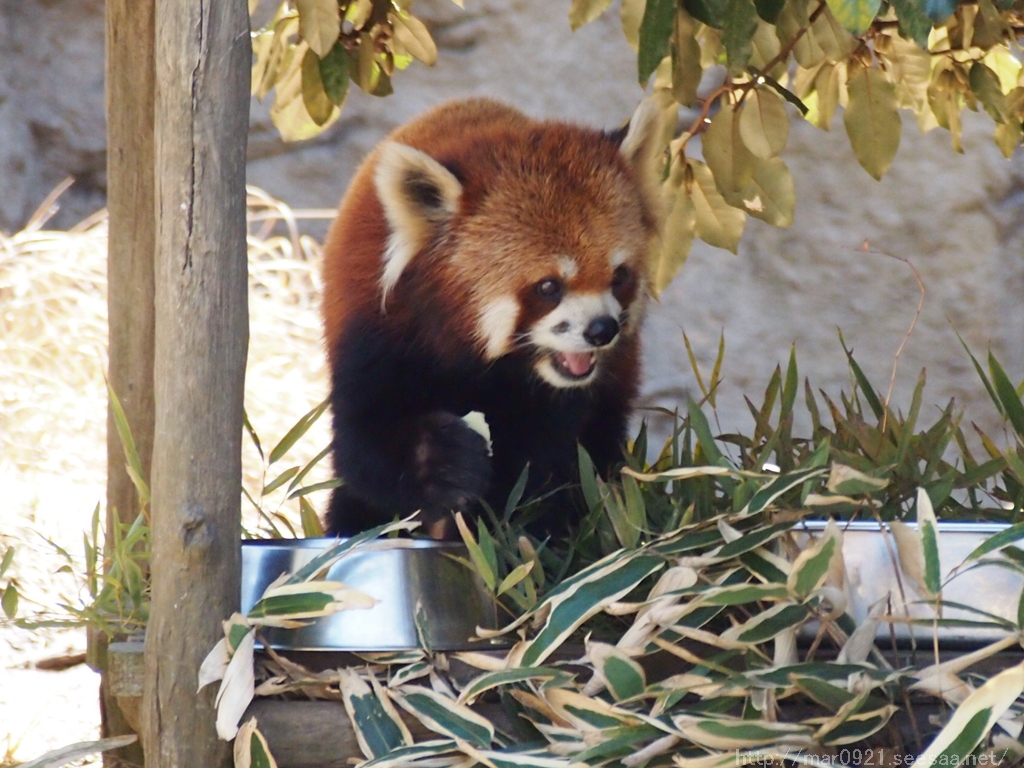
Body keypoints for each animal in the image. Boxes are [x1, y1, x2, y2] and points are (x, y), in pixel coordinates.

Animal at [319, 97, 663, 540]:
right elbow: (366, 442)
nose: (602, 329)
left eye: (619, 276)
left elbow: (546, 462)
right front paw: (445, 464)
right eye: (549, 286)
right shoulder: (376, 333)